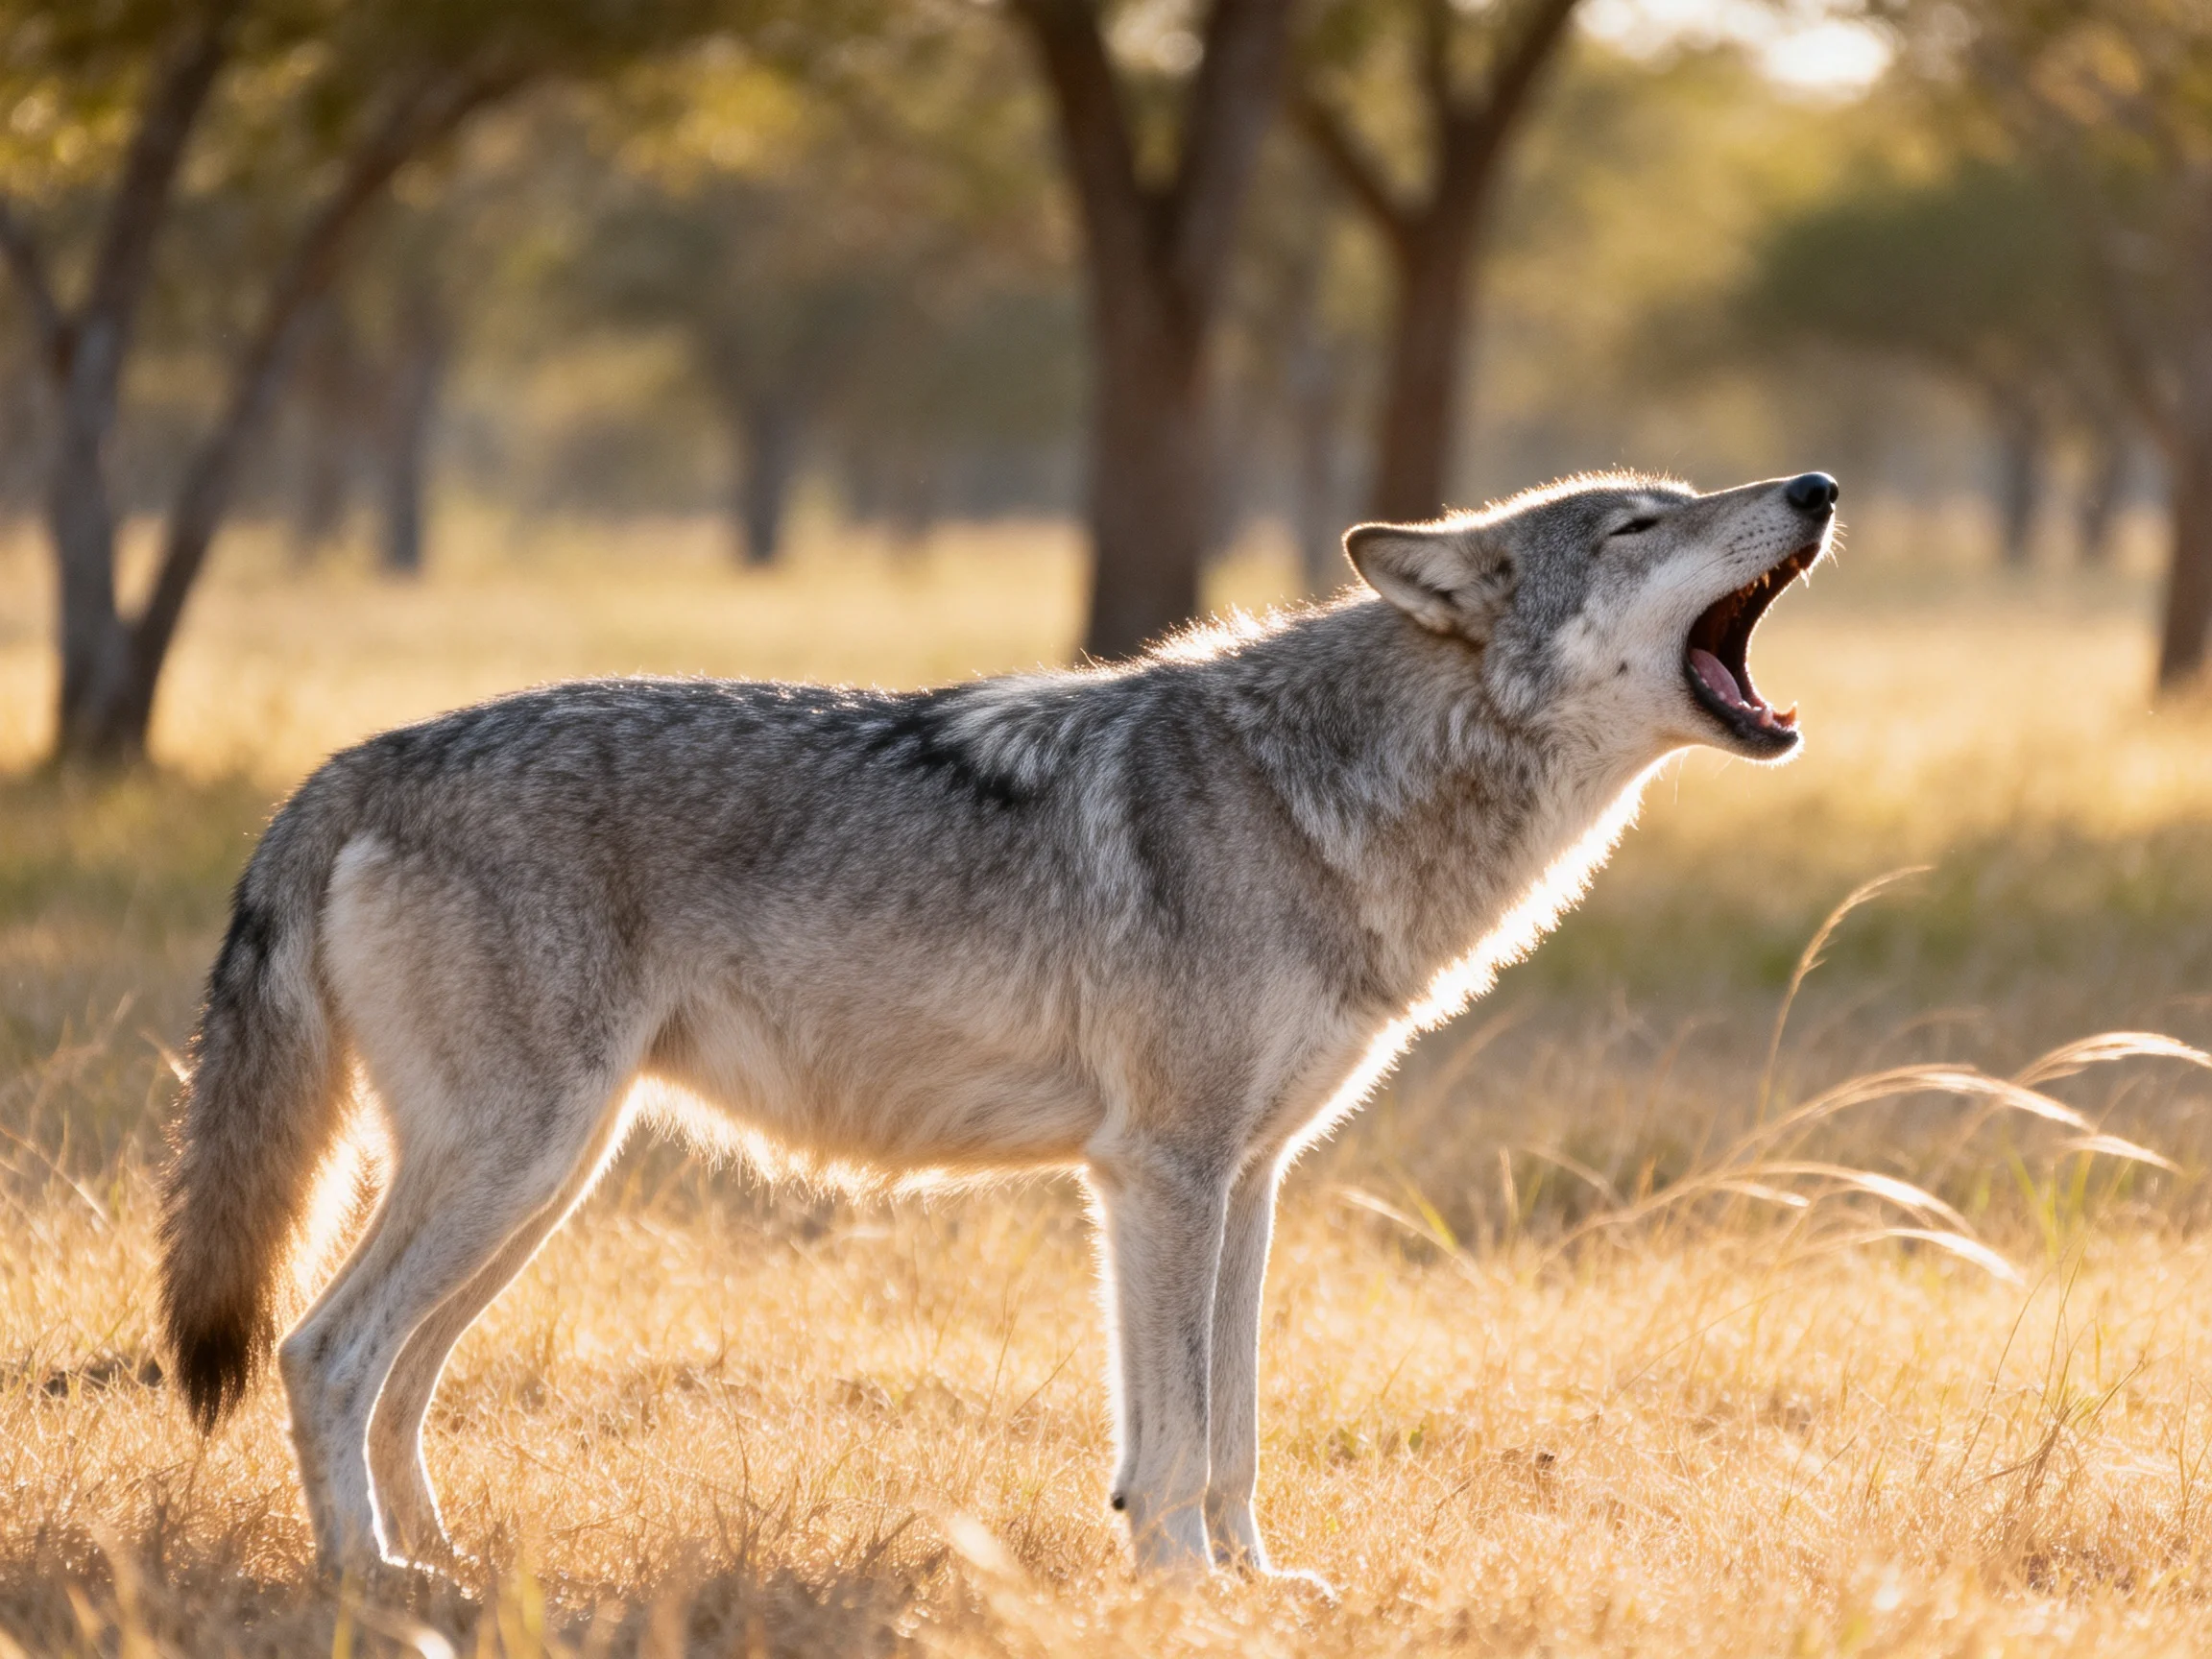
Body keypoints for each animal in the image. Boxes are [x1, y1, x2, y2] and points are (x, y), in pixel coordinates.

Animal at [158, 469, 1838, 1583]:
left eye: (1683, 499)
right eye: (1637, 525)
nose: (1815, 484)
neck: (1328, 794)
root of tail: (356, 762)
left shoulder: (1245, 1180)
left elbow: (1226, 1427)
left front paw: (1254, 1589)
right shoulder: (1164, 1171)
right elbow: (1180, 1435)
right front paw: (1188, 1599)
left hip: (541, 1182)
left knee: (398, 1379)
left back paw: (447, 1568)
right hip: (515, 1165)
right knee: (323, 1351)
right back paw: (373, 1589)